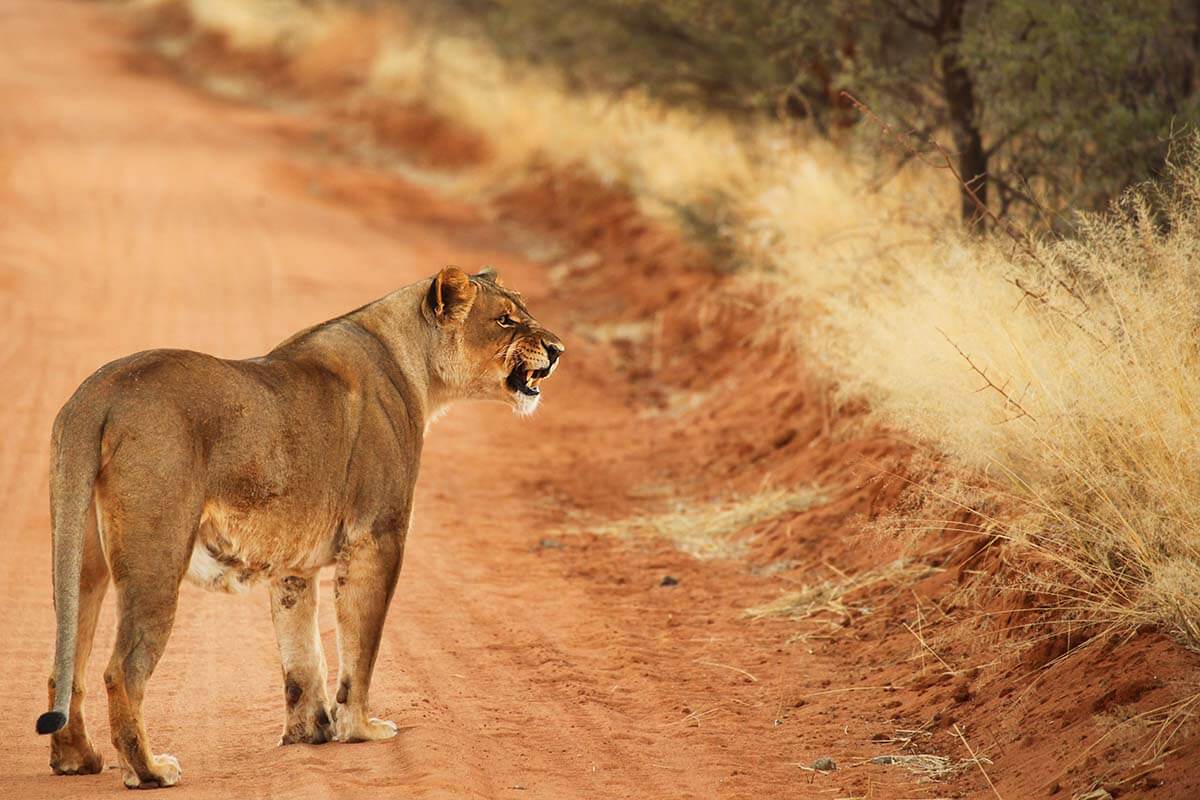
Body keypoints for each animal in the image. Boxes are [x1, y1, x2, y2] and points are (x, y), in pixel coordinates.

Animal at [35, 266, 563, 789]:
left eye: (522, 309)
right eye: (505, 319)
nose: (558, 348)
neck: (413, 361)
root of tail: (99, 392)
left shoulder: (293, 561)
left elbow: (302, 653)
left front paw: (310, 732)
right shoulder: (378, 536)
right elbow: (360, 646)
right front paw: (361, 729)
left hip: (82, 556)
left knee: (67, 663)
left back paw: (78, 759)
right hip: (157, 558)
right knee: (121, 671)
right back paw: (148, 770)